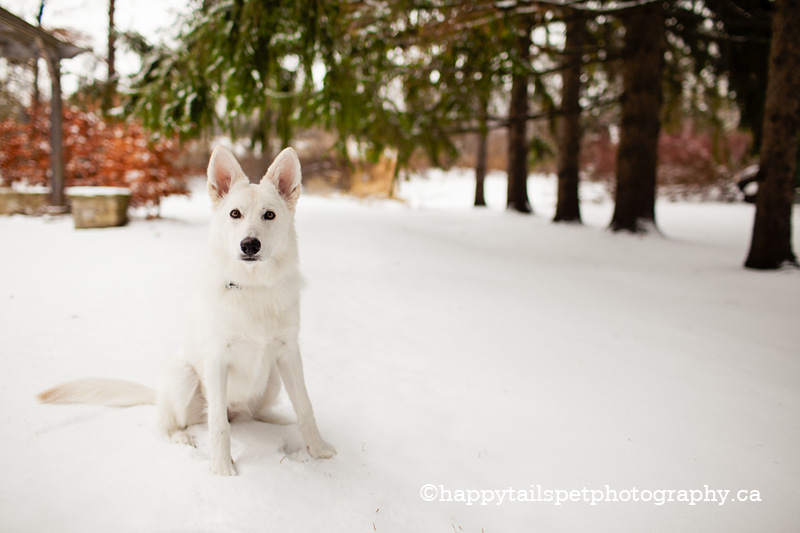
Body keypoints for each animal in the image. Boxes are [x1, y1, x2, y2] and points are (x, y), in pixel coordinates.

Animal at [38, 145, 334, 474]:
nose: (249, 245)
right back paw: (181, 437)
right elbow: (218, 424)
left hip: (272, 379)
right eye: (235, 214)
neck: (252, 287)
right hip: (183, 375)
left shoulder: (289, 353)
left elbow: (305, 406)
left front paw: (318, 450)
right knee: (173, 424)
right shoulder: (217, 358)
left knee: (252, 413)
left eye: (269, 215)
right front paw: (222, 468)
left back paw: (276, 420)